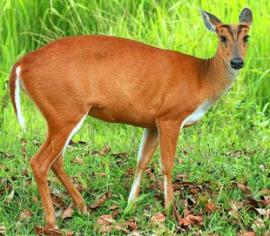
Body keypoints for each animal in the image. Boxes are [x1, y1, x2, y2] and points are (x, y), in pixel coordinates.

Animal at [8, 8, 253, 230]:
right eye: (222, 37)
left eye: (246, 37)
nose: (237, 62)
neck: (203, 79)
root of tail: (20, 65)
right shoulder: (171, 116)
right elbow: (167, 164)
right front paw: (171, 212)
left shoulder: (152, 122)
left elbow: (141, 161)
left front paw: (130, 205)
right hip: (65, 110)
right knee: (40, 162)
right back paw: (52, 222)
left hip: (62, 114)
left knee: (56, 160)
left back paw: (84, 208)